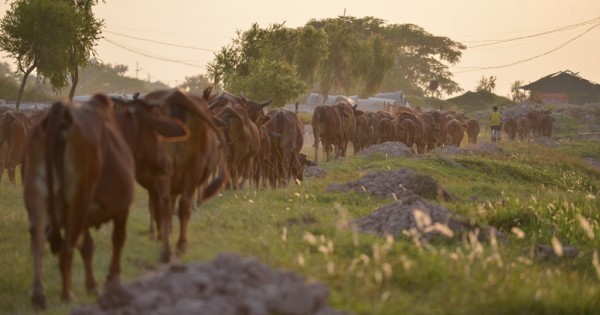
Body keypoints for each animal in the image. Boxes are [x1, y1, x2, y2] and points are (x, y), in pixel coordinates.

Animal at [23, 94, 189, 312]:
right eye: (157, 134)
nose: (167, 164)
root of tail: (61, 113)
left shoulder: (86, 217)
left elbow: (87, 247)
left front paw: (92, 285)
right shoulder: (121, 208)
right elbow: (118, 240)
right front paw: (113, 278)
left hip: (38, 201)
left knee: (38, 241)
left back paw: (38, 295)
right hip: (78, 201)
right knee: (66, 248)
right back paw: (67, 294)